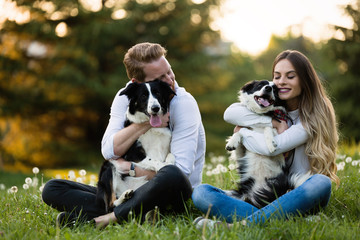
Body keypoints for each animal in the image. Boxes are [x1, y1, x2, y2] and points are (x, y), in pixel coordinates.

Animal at [96, 79, 176, 212]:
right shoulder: (133, 154)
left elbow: (171, 154)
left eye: (157, 93)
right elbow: (152, 159)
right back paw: (124, 197)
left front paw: (169, 162)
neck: (151, 127)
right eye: (143, 96)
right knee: (111, 205)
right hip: (108, 166)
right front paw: (163, 166)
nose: (155, 108)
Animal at [226, 80, 308, 208]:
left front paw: (270, 144)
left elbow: (268, 128)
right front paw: (232, 142)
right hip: (236, 193)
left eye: (275, 89)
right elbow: (239, 131)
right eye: (261, 84)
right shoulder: (241, 154)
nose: (268, 88)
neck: (263, 114)